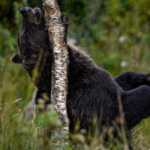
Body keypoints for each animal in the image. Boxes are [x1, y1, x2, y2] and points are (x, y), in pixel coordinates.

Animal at [11, 6, 150, 148]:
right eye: (26, 32)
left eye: (21, 31)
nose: (24, 10)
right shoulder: (90, 100)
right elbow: (121, 109)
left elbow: (124, 79)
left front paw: (145, 77)